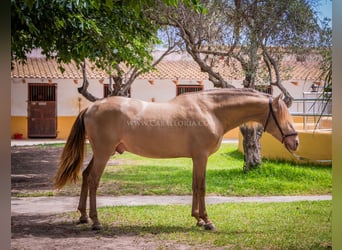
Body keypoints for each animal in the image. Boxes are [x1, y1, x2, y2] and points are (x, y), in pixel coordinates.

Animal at [54, 88, 298, 230]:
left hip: (101, 153)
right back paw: (96, 221)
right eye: (281, 115)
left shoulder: (196, 158)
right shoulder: (201, 157)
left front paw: (197, 218)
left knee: (86, 176)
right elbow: (201, 186)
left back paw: (83, 217)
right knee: (93, 180)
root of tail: (91, 107)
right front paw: (207, 221)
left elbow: (194, 185)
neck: (211, 111)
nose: (295, 141)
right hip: (104, 153)